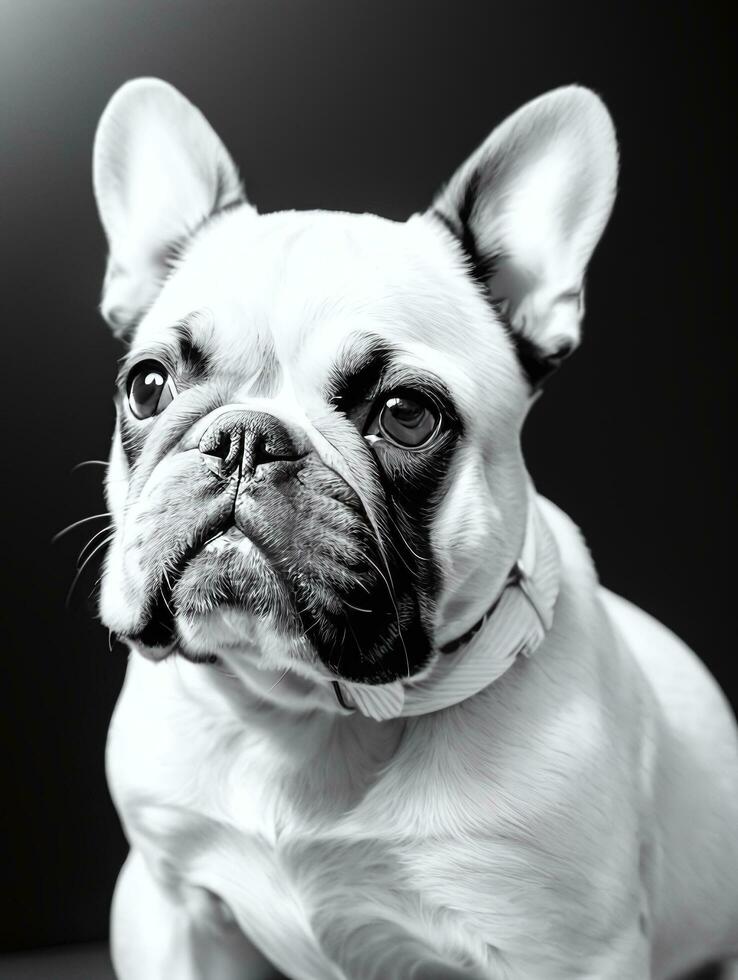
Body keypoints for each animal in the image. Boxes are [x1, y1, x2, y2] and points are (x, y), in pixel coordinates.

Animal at [93, 78, 736, 980]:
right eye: (147, 386)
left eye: (405, 415)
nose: (246, 437)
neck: (305, 713)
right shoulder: (166, 901)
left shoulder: (566, 950)